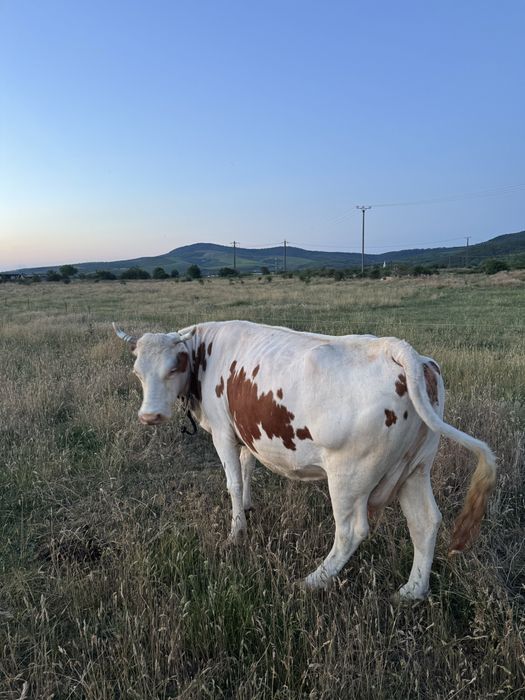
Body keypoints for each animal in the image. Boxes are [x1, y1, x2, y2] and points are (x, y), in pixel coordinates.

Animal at [113, 320, 496, 600]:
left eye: (173, 368)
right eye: (137, 372)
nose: (149, 416)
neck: (206, 354)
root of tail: (400, 351)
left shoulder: (222, 431)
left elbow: (233, 481)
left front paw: (237, 531)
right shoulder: (245, 431)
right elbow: (248, 467)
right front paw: (249, 507)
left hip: (349, 476)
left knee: (351, 531)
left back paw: (314, 580)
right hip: (416, 468)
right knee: (425, 522)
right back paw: (412, 591)